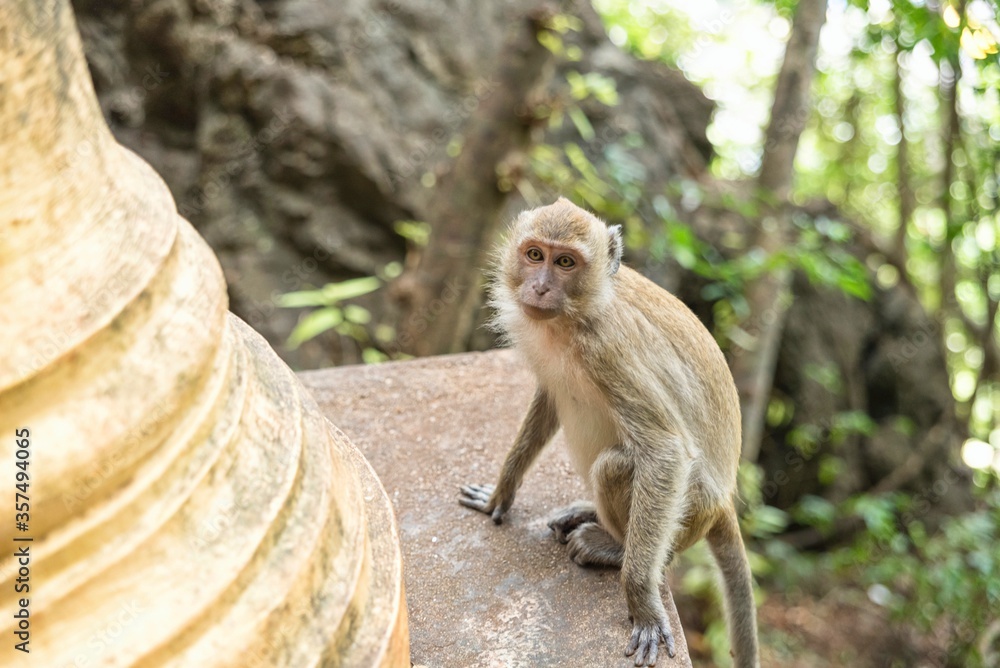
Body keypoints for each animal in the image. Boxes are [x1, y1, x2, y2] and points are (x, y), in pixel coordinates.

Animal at [459, 197, 759, 667]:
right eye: (534, 255)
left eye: (565, 262)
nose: (539, 288)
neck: (572, 318)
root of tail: (724, 501)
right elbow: (548, 401)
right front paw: (500, 492)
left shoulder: (608, 350)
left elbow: (665, 450)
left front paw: (642, 605)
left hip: (690, 513)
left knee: (617, 467)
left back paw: (613, 547)